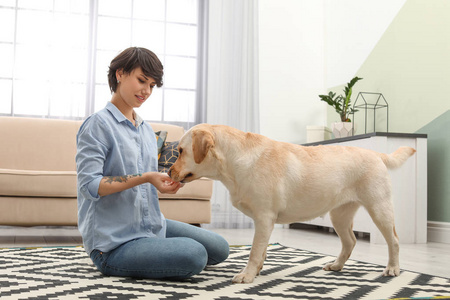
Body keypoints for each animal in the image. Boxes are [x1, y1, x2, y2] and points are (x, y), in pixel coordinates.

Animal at [168, 123, 414, 282]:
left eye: (180, 151)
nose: (168, 172)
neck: (234, 161)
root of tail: (377, 154)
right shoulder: (264, 222)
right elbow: (262, 251)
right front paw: (257, 271)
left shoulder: (264, 218)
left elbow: (255, 251)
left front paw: (247, 275)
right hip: (339, 215)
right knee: (350, 241)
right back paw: (336, 265)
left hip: (379, 208)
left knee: (393, 240)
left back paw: (393, 268)